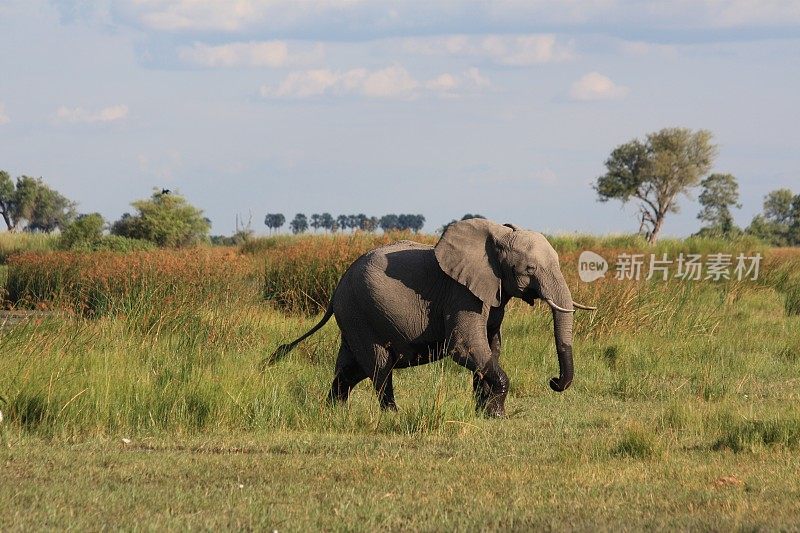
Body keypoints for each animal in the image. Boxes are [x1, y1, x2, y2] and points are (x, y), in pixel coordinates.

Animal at [268, 218, 592, 418]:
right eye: (529, 269)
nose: (554, 381)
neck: (497, 233)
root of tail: (336, 287)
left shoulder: (492, 291)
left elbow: (491, 348)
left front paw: (485, 413)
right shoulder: (461, 293)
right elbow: (465, 347)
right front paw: (498, 415)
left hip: (354, 316)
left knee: (350, 369)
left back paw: (333, 412)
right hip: (359, 311)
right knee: (379, 366)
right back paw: (393, 415)